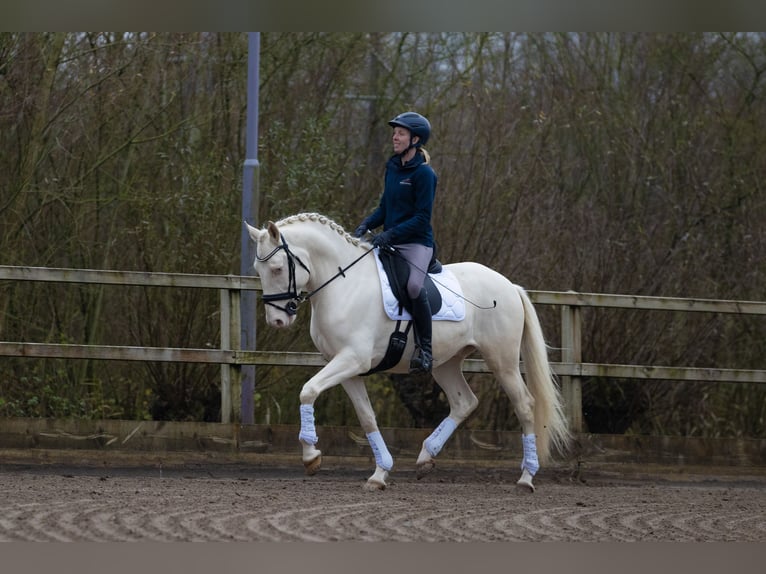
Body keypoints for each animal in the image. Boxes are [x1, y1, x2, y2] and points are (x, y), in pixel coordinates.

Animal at [246, 214, 568, 492]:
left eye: (277, 268)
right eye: (258, 271)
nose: (277, 321)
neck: (344, 284)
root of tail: (509, 286)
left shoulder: (352, 359)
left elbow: (308, 390)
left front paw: (311, 455)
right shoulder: (346, 367)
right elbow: (366, 417)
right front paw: (379, 473)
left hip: (502, 361)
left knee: (524, 405)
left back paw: (526, 477)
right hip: (445, 362)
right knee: (464, 402)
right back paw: (426, 457)